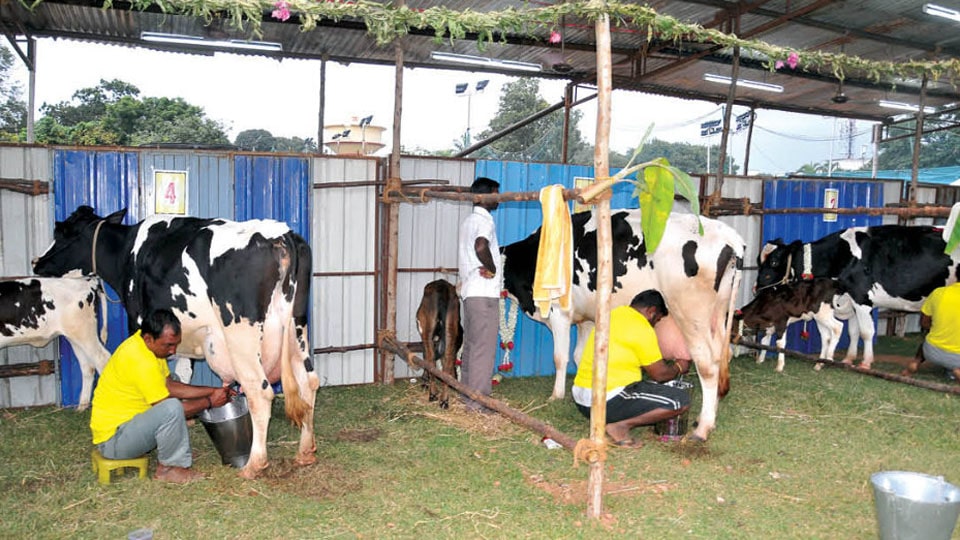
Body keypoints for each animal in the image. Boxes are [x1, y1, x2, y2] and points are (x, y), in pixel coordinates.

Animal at [0, 276, 109, 412]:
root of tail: (88, 281)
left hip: (85, 334)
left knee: (102, 359)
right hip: (74, 337)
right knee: (88, 367)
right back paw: (81, 407)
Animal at [31, 206, 316, 476]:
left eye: (62, 231)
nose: (36, 262)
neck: (127, 252)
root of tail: (280, 235)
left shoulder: (136, 321)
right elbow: (184, 374)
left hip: (241, 332)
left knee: (260, 391)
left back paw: (254, 465)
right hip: (298, 326)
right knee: (308, 382)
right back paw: (305, 452)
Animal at [502, 209, 744, 440]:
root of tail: (728, 235)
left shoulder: (559, 312)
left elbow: (560, 358)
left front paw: (556, 395)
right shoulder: (587, 316)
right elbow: (580, 355)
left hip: (692, 315)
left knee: (708, 365)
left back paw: (703, 429)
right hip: (717, 314)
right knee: (724, 355)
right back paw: (705, 418)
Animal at [756, 226, 960, 370]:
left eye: (774, 261)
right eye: (759, 260)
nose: (756, 288)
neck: (843, 256)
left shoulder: (861, 297)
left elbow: (866, 332)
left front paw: (866, 362)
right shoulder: (851, 300)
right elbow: (853, 331)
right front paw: (848, 358)